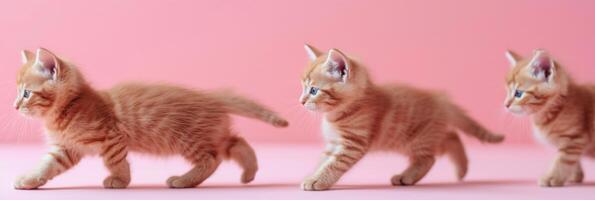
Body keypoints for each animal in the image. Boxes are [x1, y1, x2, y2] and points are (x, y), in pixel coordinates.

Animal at [11, 47, 286, 190]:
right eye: (18, 93)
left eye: (26, 93)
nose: (14, 106)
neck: (67, 109)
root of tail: (212, 97)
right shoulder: (66, 149)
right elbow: (47, 165)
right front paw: (29, 180)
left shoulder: (111, 138)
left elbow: (116, 162)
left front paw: (120, 180)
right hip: (212, 134)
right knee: (237, 143)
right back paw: (249, 173)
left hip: (189, 139)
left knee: (212, 159)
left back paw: (183, 181)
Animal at [300, 43, 506, 191]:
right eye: (303, 88)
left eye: (313, 90)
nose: (301, 101)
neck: (337, 115)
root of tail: (441, 99)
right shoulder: (334, 144)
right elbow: (324, 160)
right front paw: (312, 175)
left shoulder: (352, 145)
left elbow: (334, 164)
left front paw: (318, 181)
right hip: (424, 136)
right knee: (451, 137)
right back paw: (462, 170)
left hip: (416, 138)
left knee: (429, 158)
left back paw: (407, 176)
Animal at [502, 49, 595, 187]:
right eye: (507, 92)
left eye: (518, 93)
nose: (505, 105)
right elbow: (575, 160)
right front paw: (574, 175)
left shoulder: (575, 139)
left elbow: (563, 160)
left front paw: (552, 177)